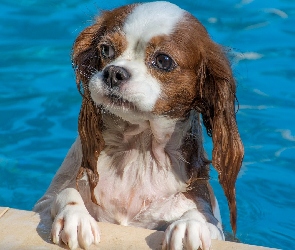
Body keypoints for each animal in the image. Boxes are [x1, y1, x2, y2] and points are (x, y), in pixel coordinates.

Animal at [33, 0, 244, 249]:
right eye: (106, 50)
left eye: (163, 60)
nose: (114, 72)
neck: (138, 148)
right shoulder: (44, 204)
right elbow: (65, 193)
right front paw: (75, 217)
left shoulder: (211, 221)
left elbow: (199, 216)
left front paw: (190, 225)